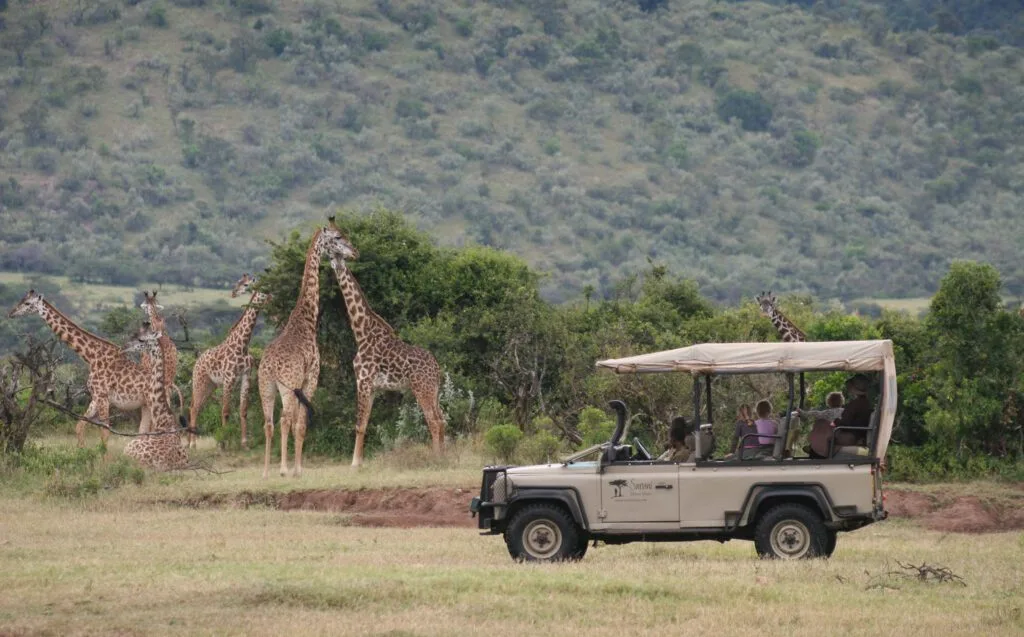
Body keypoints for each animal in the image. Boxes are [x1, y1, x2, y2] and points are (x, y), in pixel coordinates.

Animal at [7, 290, 153, 445]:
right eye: (21, 299)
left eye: (27, 303)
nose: (11, 313)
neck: (91, 356)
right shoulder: (95, 397)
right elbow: (79, 426)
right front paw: (81, 449)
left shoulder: (103, 397)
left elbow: (105, 433)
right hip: (146, 406)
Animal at [187, 274, 268, 449]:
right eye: (240, 283)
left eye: (245, 284)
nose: (233, 293)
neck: (243, 345)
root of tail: (196, 362)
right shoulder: (229, 378)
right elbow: (225, 411)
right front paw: (223, 443)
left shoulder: (246, 377)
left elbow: (243, 410)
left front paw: (244, 443)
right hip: (199, 382)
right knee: (194, 408)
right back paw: (193, 444)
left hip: (210, 385)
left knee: (195, 407)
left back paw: (190, 441)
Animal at [257, 223, 352, 478]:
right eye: (338, 237)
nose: (354, 252)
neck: (307, 320)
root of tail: (270, 366)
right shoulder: (311, 377)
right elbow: (300, 423)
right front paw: (298, 469)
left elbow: (296, 424)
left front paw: (294, 466)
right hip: (286, 387)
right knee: (285, 419)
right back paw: (282, 470)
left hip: (265, 387)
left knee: (268, 423)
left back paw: (266, 472)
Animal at [325, 223, 446, 467]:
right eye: (338, 241)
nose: (354, 253)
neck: (362, 332)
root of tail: (436, 367)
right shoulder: (373, 388)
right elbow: (365, 424)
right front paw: (359, 462)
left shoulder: (362, 382)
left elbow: (359, 424)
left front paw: (354, 464)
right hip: (434, 390)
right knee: (442, 420)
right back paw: (448, 457)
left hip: (422, 388)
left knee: (434, 421)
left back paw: (437, 460)